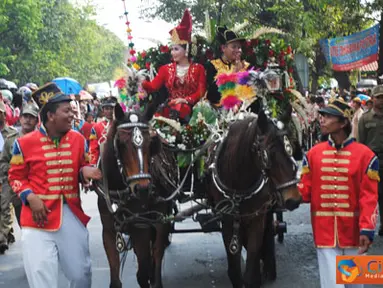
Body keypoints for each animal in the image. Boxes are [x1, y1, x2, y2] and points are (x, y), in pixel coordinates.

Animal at [94, 103, 171, 288]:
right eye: (121, 144)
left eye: (150, 143)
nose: (142, 189)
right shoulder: (109, 230)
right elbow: (116, 279)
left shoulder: (141, 226)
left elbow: (143, 272)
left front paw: (150, 277)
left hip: (160, 219)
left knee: (157, 251)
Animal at [207, 109, 304, 286]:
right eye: (269, 153)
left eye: (290, 149)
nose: (294, 199)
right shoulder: (228, 220)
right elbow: (234, 271)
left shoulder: (257, 218)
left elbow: (251, 265)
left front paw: (256, 276)